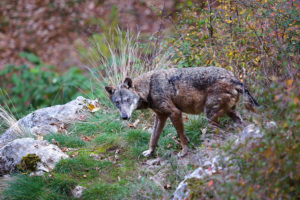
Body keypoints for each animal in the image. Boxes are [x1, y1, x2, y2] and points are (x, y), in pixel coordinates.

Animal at [105, 66, 258, 157]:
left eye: (128, 100)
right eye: (117, 103)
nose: (125, 117)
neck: (149, 87)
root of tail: (235, 79)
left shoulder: (175, 113)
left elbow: (181, 137)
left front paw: (184, 152)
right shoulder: (160, 117)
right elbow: (153, 138)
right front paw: (150, 152)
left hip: (210, 116)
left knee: (221, 133)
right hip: (230, 114)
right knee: (240, 125)